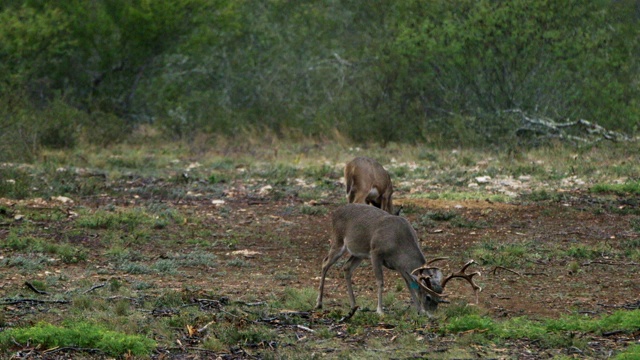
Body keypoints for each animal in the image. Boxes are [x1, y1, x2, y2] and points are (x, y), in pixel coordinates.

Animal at [316, 204, 480, 316]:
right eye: (428, 297)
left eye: (438, 300)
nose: (432, 315)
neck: (399, 243)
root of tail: (335, 212)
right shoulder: (376, 253)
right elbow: (380, 282)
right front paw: (380, 310)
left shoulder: (401, 266)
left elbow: (409, 285)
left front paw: (419, 310)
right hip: (338, 241)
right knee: (325, 263)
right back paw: (319, 303)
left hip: (358, 254)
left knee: (346, 267)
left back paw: (354, 305)